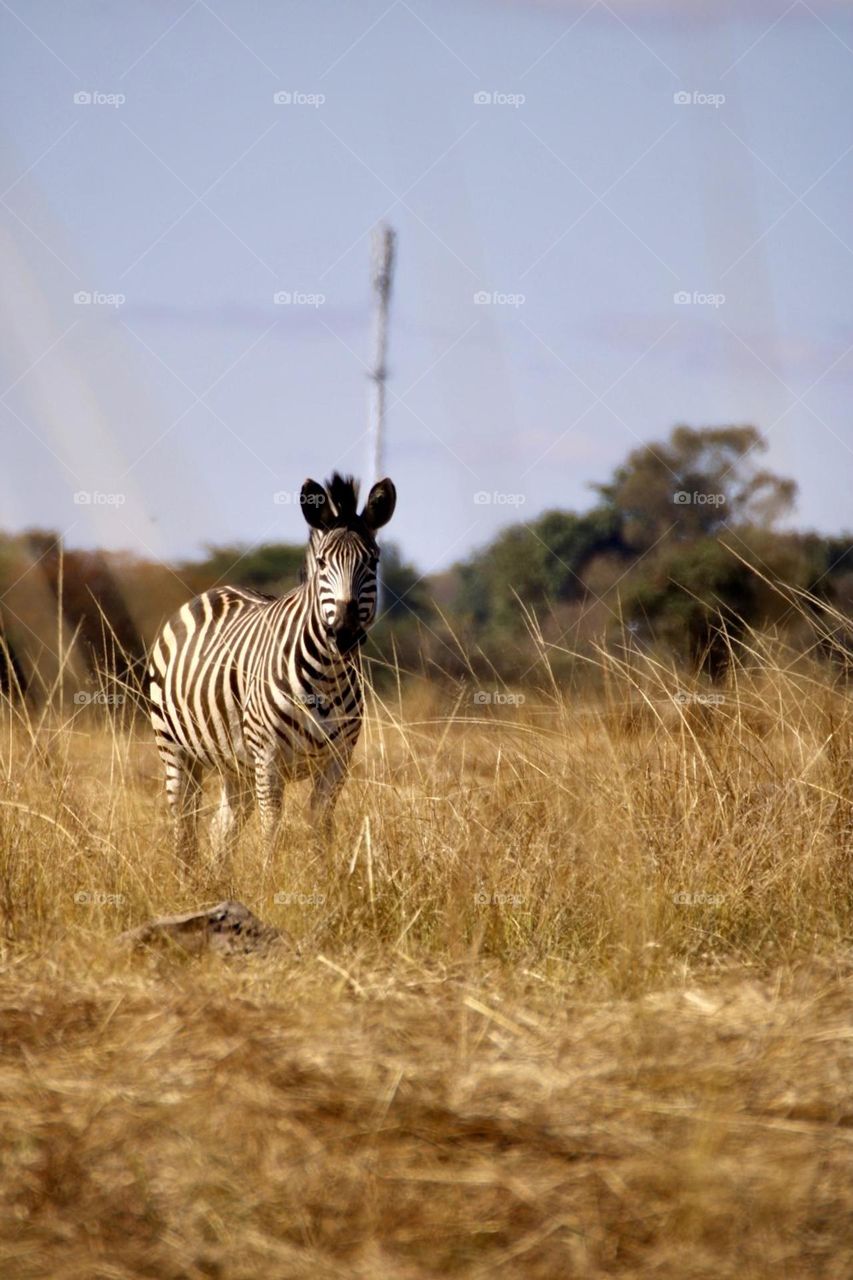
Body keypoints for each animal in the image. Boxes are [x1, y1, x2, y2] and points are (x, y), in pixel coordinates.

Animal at [147, 473, 396, 867]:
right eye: (322, 563)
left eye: (372, 562)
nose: (344, 634)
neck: (328, 677)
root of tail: (212, 592)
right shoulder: (268, 759)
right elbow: (272, 829)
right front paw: (270, 877)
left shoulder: (338, 759)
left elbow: (320, 826)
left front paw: (324, 877)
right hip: (176, 749)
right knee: (184, 824)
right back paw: (186, 875)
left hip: (235, 765)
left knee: (222, 829)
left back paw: (217, 877)